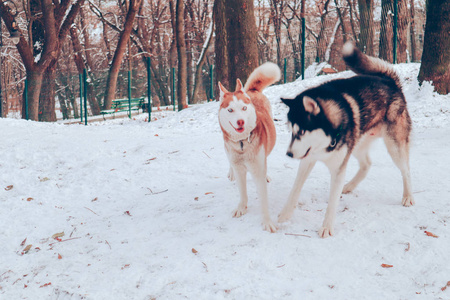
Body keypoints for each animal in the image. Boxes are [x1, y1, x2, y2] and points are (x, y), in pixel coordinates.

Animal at [280, 41, 414, 238]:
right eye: (291, 130)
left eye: (302, 131)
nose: (288, 154)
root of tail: (390, 81)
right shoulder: (307, 159)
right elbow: (294, 190)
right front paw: (284, 215)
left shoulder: (337, 168)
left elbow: (332, 202)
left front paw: (326, 227)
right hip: (358, 144)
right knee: (367, 164)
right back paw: (349, 186)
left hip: (394, 146)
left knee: (406, 170)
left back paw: (408, 196)